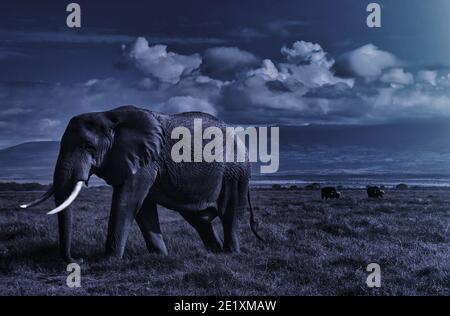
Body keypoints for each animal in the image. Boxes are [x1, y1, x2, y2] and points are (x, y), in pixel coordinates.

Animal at [19, 105, 262, 262]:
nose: (78, 260)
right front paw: (160, 257)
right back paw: (215, 253)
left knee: (229, 213)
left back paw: (231, 254)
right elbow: (143, 207)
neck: (108, 116)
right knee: (199, 219)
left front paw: (108, 261)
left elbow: (127, 201)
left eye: (89, 146)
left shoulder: (146, 159)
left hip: (235, 172)